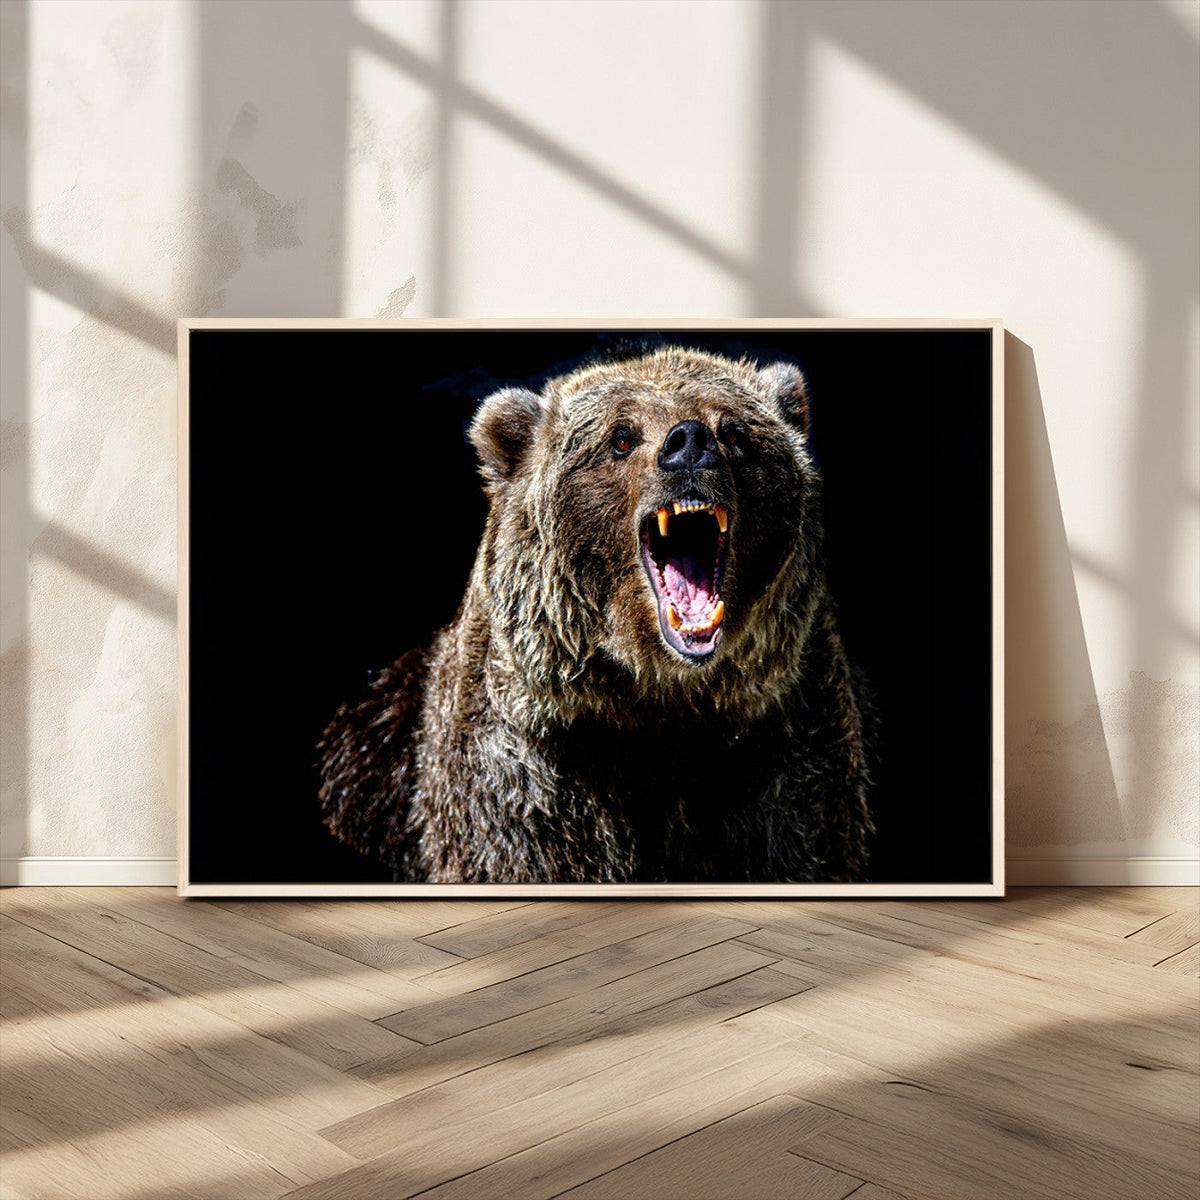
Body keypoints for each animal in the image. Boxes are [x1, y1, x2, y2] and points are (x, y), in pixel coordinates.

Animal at [317, 345, 873, 883]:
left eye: (734, 431)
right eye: (621, 438)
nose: (690, 443)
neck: (658, 701)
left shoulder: (782, 754)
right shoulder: (528, 777)